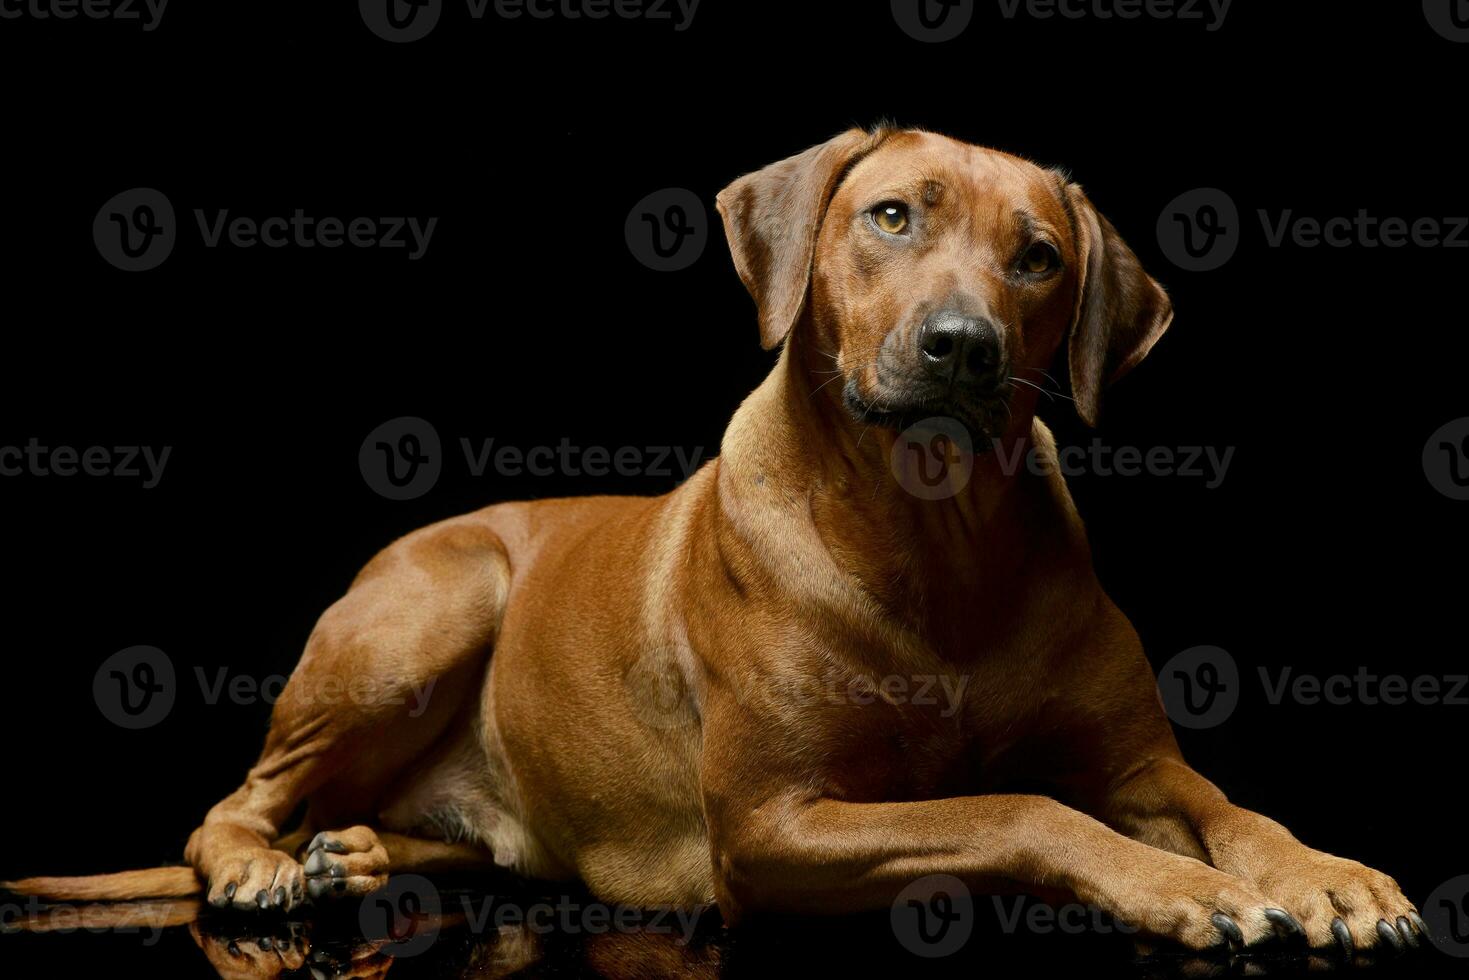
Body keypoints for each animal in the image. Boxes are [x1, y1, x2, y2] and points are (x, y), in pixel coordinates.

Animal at [8, 126, 1421, 952]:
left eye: (1034, 256)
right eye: (892, 216)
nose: (959, 347)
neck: (935, 542)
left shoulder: (1137, 762)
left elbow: (1227, 802)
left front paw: (1325, 872)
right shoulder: (772, 824)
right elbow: (1025, 804)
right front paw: (1184, 889)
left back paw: (349, 854)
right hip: (421, 615)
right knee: (224, 806)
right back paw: (262, 864)